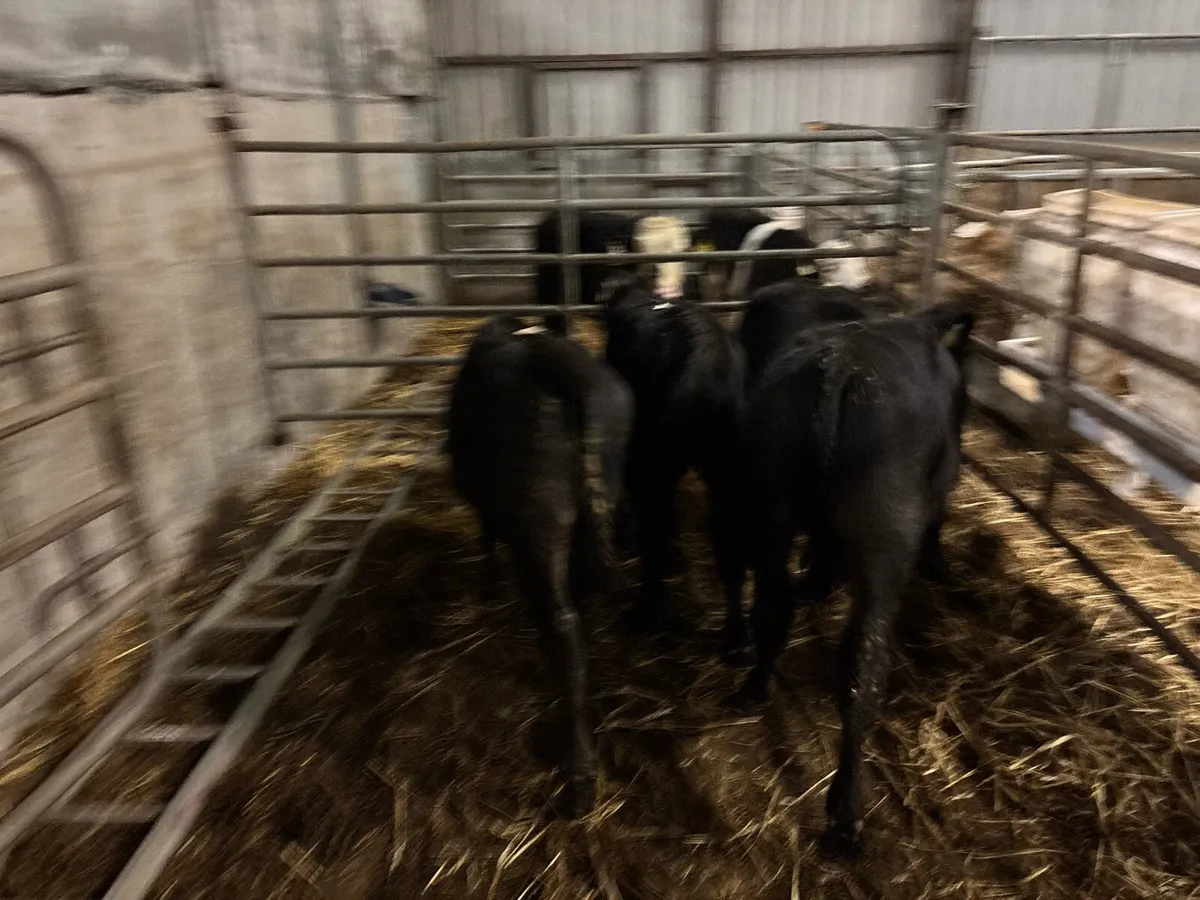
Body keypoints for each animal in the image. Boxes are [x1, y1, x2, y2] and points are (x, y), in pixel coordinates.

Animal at [447, 316, 633, 816]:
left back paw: (579, 777)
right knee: (580, 613)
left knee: (563, 627)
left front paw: (488, 586)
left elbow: (487, 535)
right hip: (599, 506)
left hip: (541, 524)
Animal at [599, 273, 750, 663]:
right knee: (730, 539)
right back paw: (737, 640)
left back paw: (645, 611)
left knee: (659, 528)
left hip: (659, 463)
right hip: (728, 470)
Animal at [732, 301, 974, 857]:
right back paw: (846, 812)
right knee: (864, 663)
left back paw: (756, 684)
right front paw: (939, 563)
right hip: (884, 530)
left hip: (771, 504)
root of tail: (839, 368)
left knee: (772, 607)